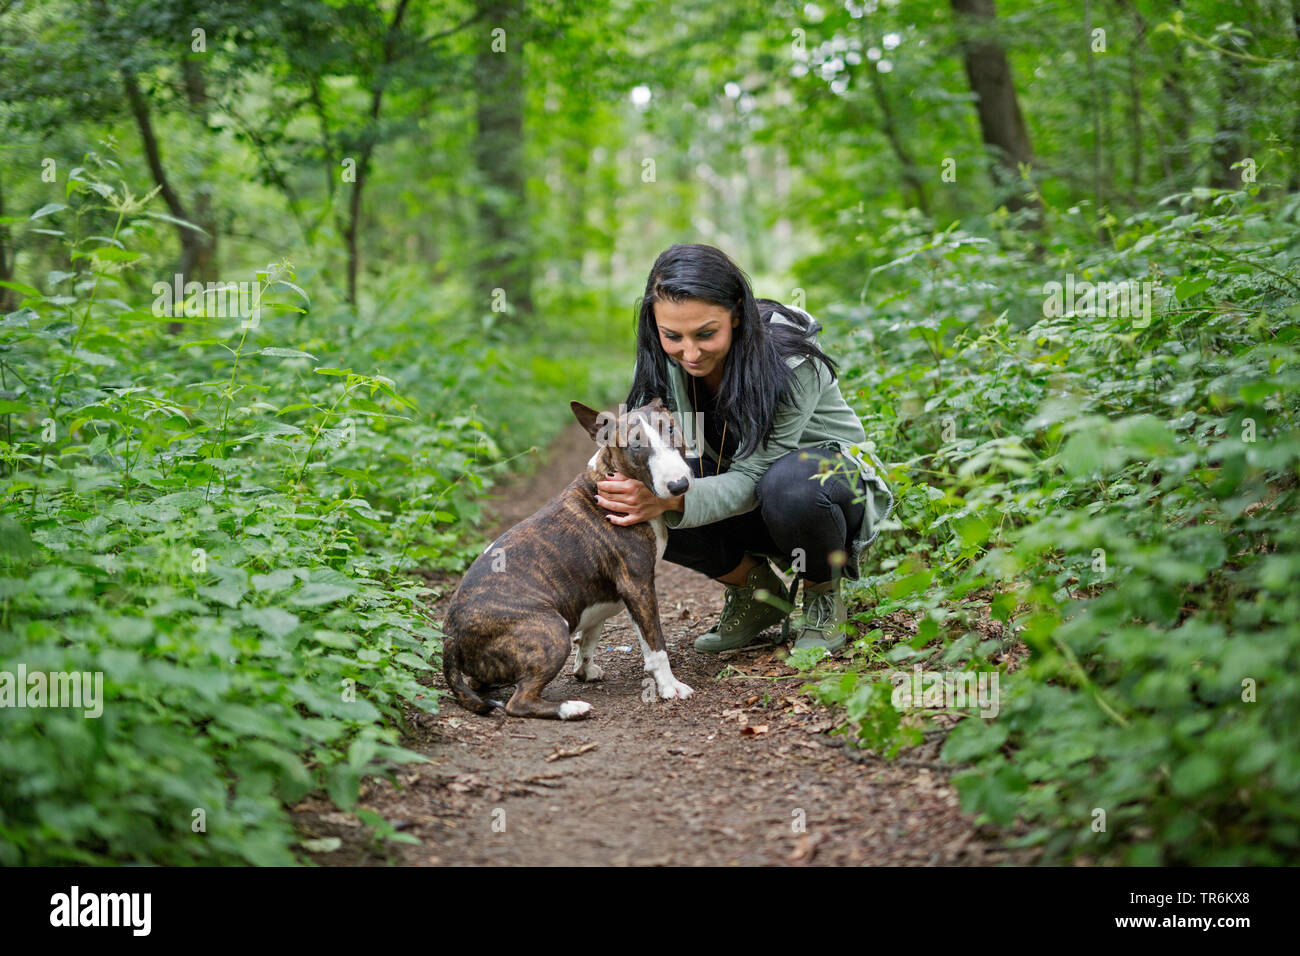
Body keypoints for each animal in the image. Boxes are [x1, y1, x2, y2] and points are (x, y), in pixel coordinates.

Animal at [441, 395, 696, 717]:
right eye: (635, 445)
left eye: (672, 429)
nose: (679, 485)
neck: (606, 479)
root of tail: (450, 637)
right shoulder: (637, 586)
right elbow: (655, 644)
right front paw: (669, 687)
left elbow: (590, 637)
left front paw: (585, 671)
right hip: (551, 630)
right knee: (518, 701)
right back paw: (571, 708)